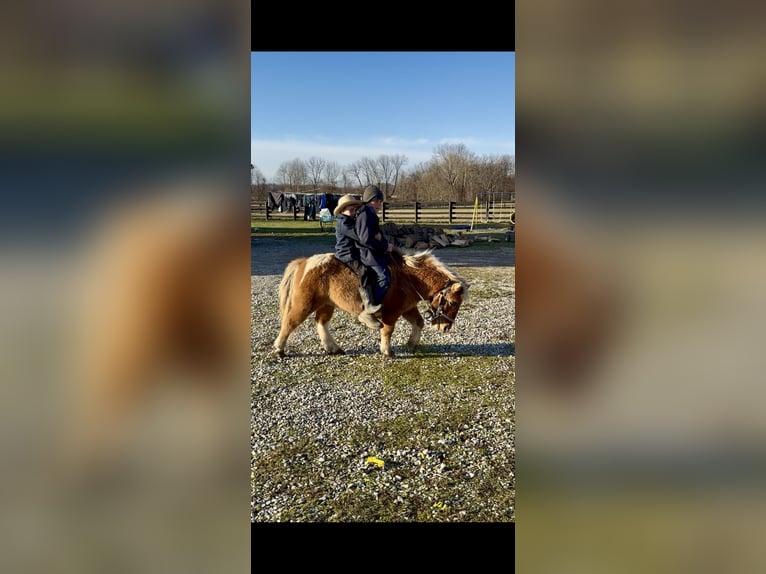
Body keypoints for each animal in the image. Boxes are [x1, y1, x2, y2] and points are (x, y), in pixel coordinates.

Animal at [273, 250, 470, 358]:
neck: (409, 278)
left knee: (321, 322)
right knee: (290, 322)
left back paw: (333, 348)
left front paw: (411, 344)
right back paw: (279, 349)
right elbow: (387, 330)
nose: (445, 327)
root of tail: (304, 262)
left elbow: (418, 323)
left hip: (327, 304)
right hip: (304, 304)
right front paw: (387, 351)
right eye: (452, 302)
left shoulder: (407, 308)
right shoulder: (391, 312)